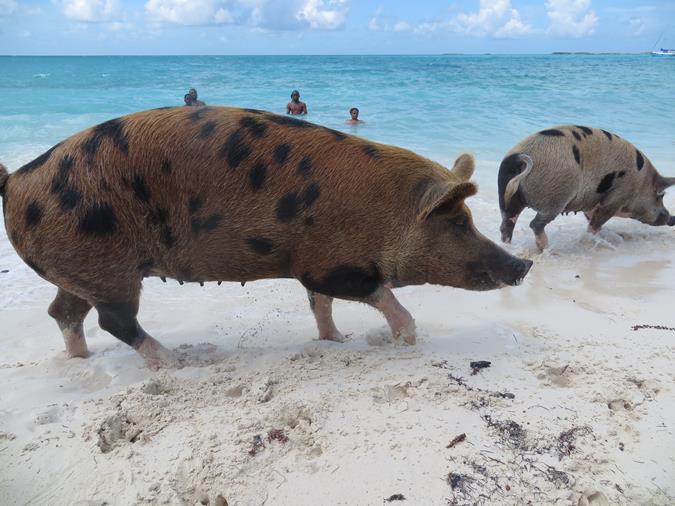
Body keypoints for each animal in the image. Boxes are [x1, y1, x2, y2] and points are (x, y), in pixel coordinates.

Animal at [496, 125, 675, 250]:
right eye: (660, 196)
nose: (672, 218)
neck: (641, 182)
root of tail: (518, 157)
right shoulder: (616, 197)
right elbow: (596, 222)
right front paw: (591, 240)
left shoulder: (592, 201)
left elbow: (590, 217)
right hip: (555, 196)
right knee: (535, 224)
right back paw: (547, 248)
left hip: (506, 195)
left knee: (507, 223)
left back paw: (508, 246)